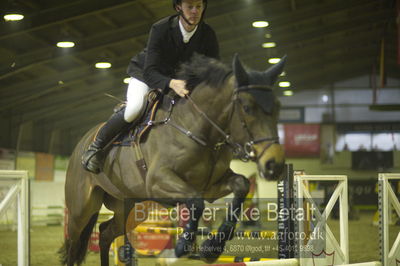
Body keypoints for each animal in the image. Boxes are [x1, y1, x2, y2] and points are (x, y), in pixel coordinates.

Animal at [58, 53, 284, 264]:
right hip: (81, 209)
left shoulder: (210, 187)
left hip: (131, 206)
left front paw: (211, 248)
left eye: (278, 108)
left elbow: (241, 185)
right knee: (73, 244)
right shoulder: (158, 182)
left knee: (105, 233)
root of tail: (80, 144)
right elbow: (196, 202)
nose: (274, 165)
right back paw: (92, 156)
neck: (197, 129)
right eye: (247, 108)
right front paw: (184, 245)